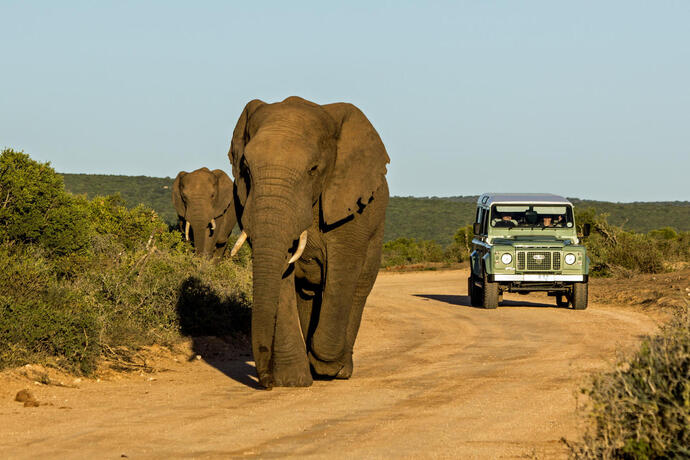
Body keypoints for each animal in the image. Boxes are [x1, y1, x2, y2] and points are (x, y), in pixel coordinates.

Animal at [228, 96, 389, 388]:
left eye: (313, 170)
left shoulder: (350, 209)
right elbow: (282, 279)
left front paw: (326, 366)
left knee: (359, 288)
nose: (266, 381)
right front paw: (293, 381)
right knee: (307, 294)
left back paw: (340, 370)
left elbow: (342, 272)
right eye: (245, 169)